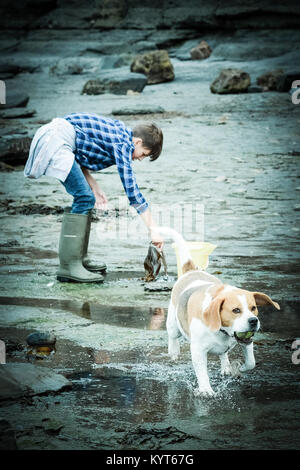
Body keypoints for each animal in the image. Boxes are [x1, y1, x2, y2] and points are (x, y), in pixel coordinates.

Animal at [154, 228, 280, 396]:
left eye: (253, 308)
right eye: (236, 310)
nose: (253, 321)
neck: (222, 329)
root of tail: (191, 271)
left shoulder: (246, 341)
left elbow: (251, 362)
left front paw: (240, 368)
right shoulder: (198, 351)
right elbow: (202, 373)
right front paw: (206, 389)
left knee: (223, 354)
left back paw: (226, 366)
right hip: (173, 325)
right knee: (172, 337)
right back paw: (173, 352)